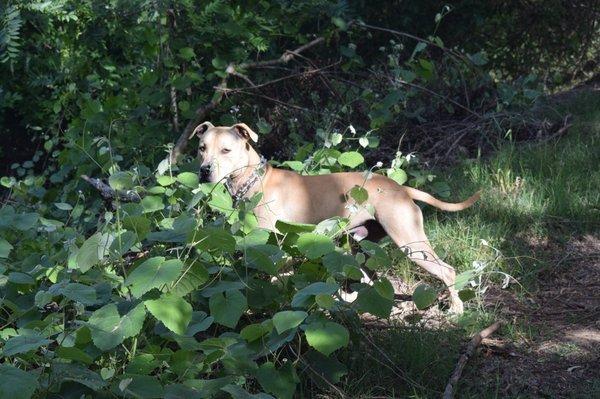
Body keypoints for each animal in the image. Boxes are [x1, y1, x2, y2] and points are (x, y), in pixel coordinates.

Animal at [190, 120, 480, 314]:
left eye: (226, 150)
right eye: (202, 148)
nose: (205, 171)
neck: (254, 180)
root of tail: (401, 188)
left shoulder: (277, 250)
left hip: (410, 242)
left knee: (447, 270)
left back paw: (456, 309)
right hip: (362, 245)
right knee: (370, 278)